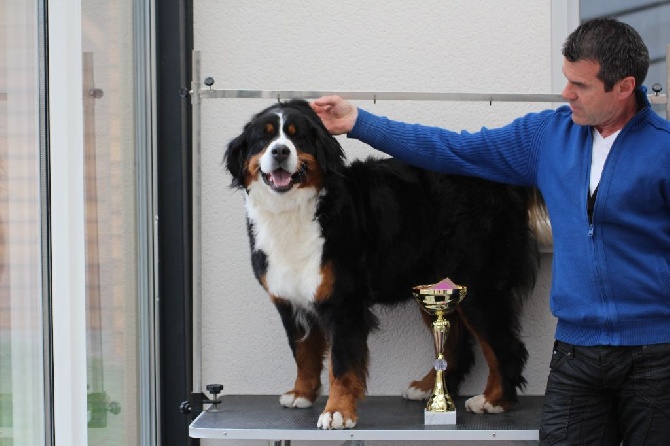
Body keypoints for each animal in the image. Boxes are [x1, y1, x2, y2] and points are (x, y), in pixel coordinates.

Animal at [224, 100, 544, 428]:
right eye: (264, 138)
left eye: (297, 136)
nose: (280, 151)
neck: (293, 211)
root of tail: (503, 181)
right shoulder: (289, 298)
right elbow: (303, 353)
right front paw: (301, 394)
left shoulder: (343, 300)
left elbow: (341, 363)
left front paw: (337, 411)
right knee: (456, 345)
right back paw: (427, 387)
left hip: (477, 285)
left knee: (505, 347)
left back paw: (494, 400)